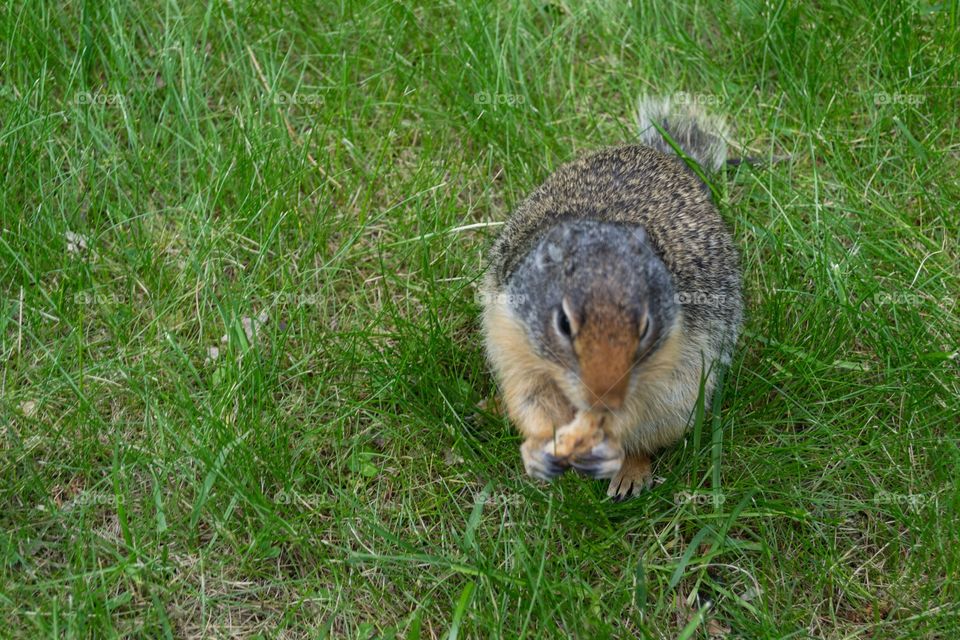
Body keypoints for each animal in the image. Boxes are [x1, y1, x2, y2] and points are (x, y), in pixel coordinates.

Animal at [480, 97, 744, 502]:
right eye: (563, 323)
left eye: (646, 326)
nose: (601, 398)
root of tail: (666, 157)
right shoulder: (511, 336)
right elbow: (529, 396)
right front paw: (541, 448)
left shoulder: (667, 366)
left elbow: (635, 412)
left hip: (681, 401)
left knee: (645, 441)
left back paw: (628, 474)